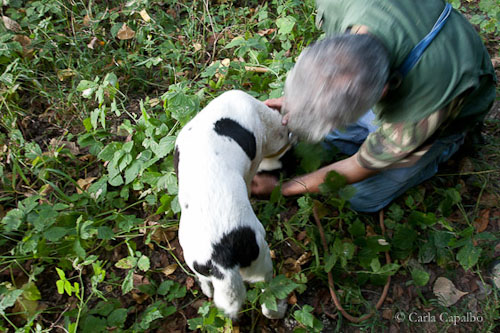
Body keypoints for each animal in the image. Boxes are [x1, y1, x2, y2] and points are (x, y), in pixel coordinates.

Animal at [175, 89, 290, 318]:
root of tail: (221, 259)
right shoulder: (255, 160)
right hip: (263, 263)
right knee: (267, 297)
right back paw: (279, 310)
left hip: (194, 260)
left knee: (205, 281)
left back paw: (206, 290)